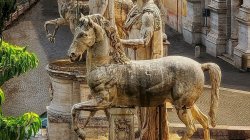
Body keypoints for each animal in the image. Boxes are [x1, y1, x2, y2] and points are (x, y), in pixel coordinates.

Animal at [68, 13, 221, 139]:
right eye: (75, 33)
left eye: (83, 34)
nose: (72, 55)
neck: (105, 66)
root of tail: (200, 66)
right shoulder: (104, 104)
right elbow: (89, 113)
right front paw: (83, 131)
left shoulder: (102, 101)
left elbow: (75, 107)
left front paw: (81, 132)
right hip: (188, 104)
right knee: (205, 121)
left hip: (181, 106)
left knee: (191, 128)